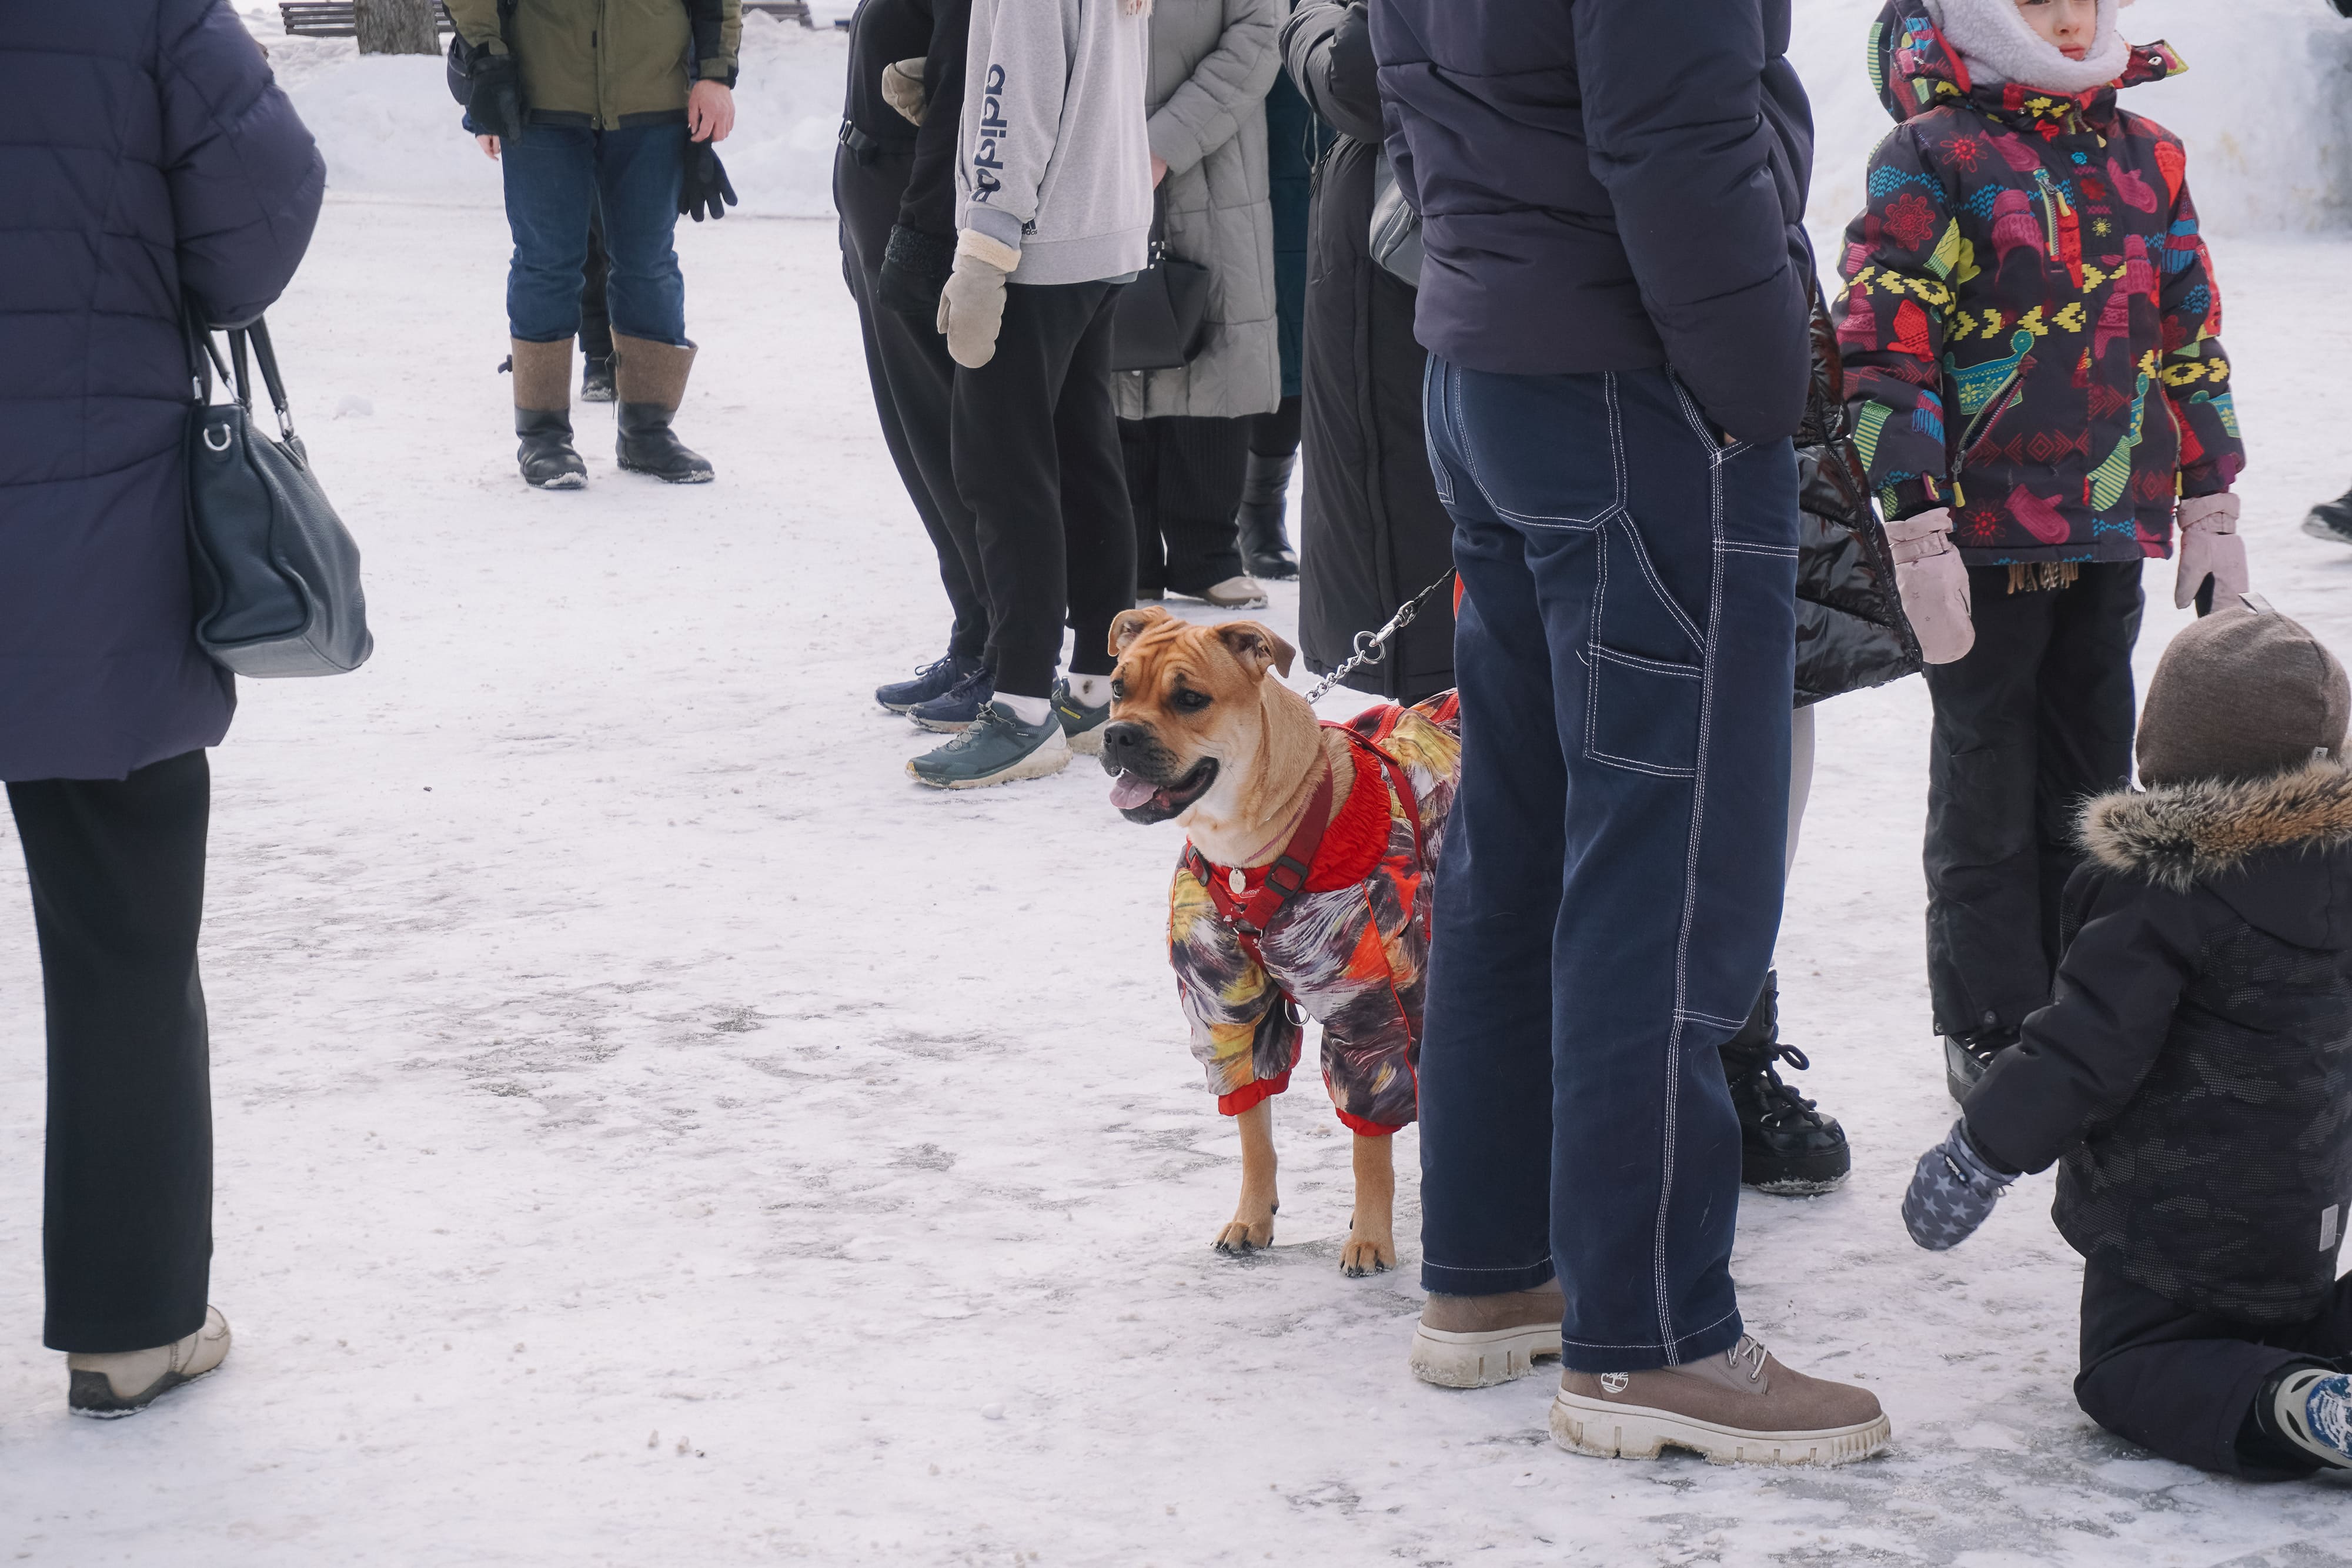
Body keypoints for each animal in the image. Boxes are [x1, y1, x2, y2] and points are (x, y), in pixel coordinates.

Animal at [1101, 606, 1392, 1269]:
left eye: (1189, 699)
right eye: (1118, 688)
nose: (1119, 735)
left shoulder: (1365, 1015)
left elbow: (1369, 1146)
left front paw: (1370, 1237)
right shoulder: (1225, 1007)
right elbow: (1253, 1129)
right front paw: (1252, 1219)